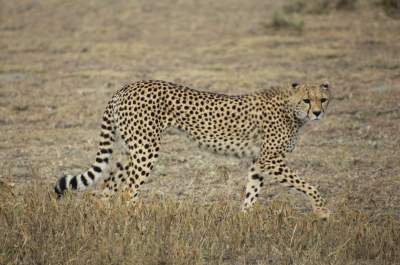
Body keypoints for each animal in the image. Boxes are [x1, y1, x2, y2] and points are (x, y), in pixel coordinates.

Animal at [54, 79, 332, 218]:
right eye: (307, 100)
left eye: (323, 99)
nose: (318, 113)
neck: (291, 108)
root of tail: (124, 88)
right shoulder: (270, 160)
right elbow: (309, 185)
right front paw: (323, 213)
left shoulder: (259, 162)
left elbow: (251, 193)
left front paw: (244, 222)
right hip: (146, 150)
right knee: (129, 188)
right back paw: (136, 221)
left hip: (132, 149)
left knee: (109, 181)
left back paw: (106, 219)